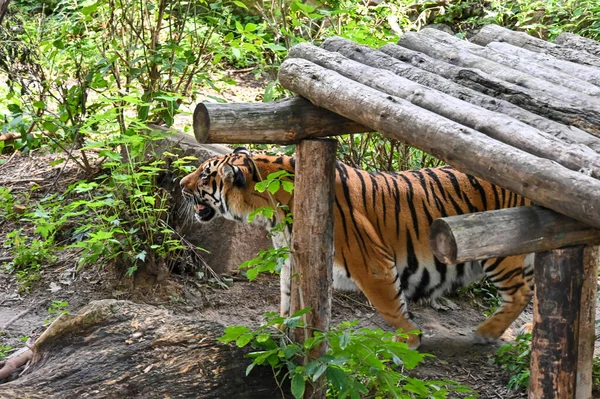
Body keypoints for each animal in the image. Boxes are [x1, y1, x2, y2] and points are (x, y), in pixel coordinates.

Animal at [179, 148, 536, 350]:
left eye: (205, 175)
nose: (180, 185)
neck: (272, 212)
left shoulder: (373, 264)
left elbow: (390, 307)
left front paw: (409, 340)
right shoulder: (291, 260)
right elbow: (286, 299)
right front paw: (279, 331)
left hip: (500, 251)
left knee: (520, 293)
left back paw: (485, 333)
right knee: (533, 290)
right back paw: (529, 331)